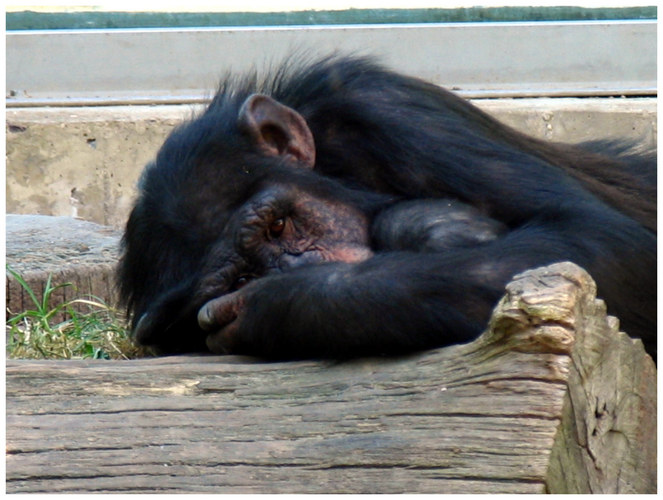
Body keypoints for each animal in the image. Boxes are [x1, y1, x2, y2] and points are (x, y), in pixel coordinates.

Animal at [118, 53, 652, 360]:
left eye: (279, 225)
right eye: (239, 277)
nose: (299, 267)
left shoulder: (382, 109)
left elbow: (596, 238)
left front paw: (283, 301)